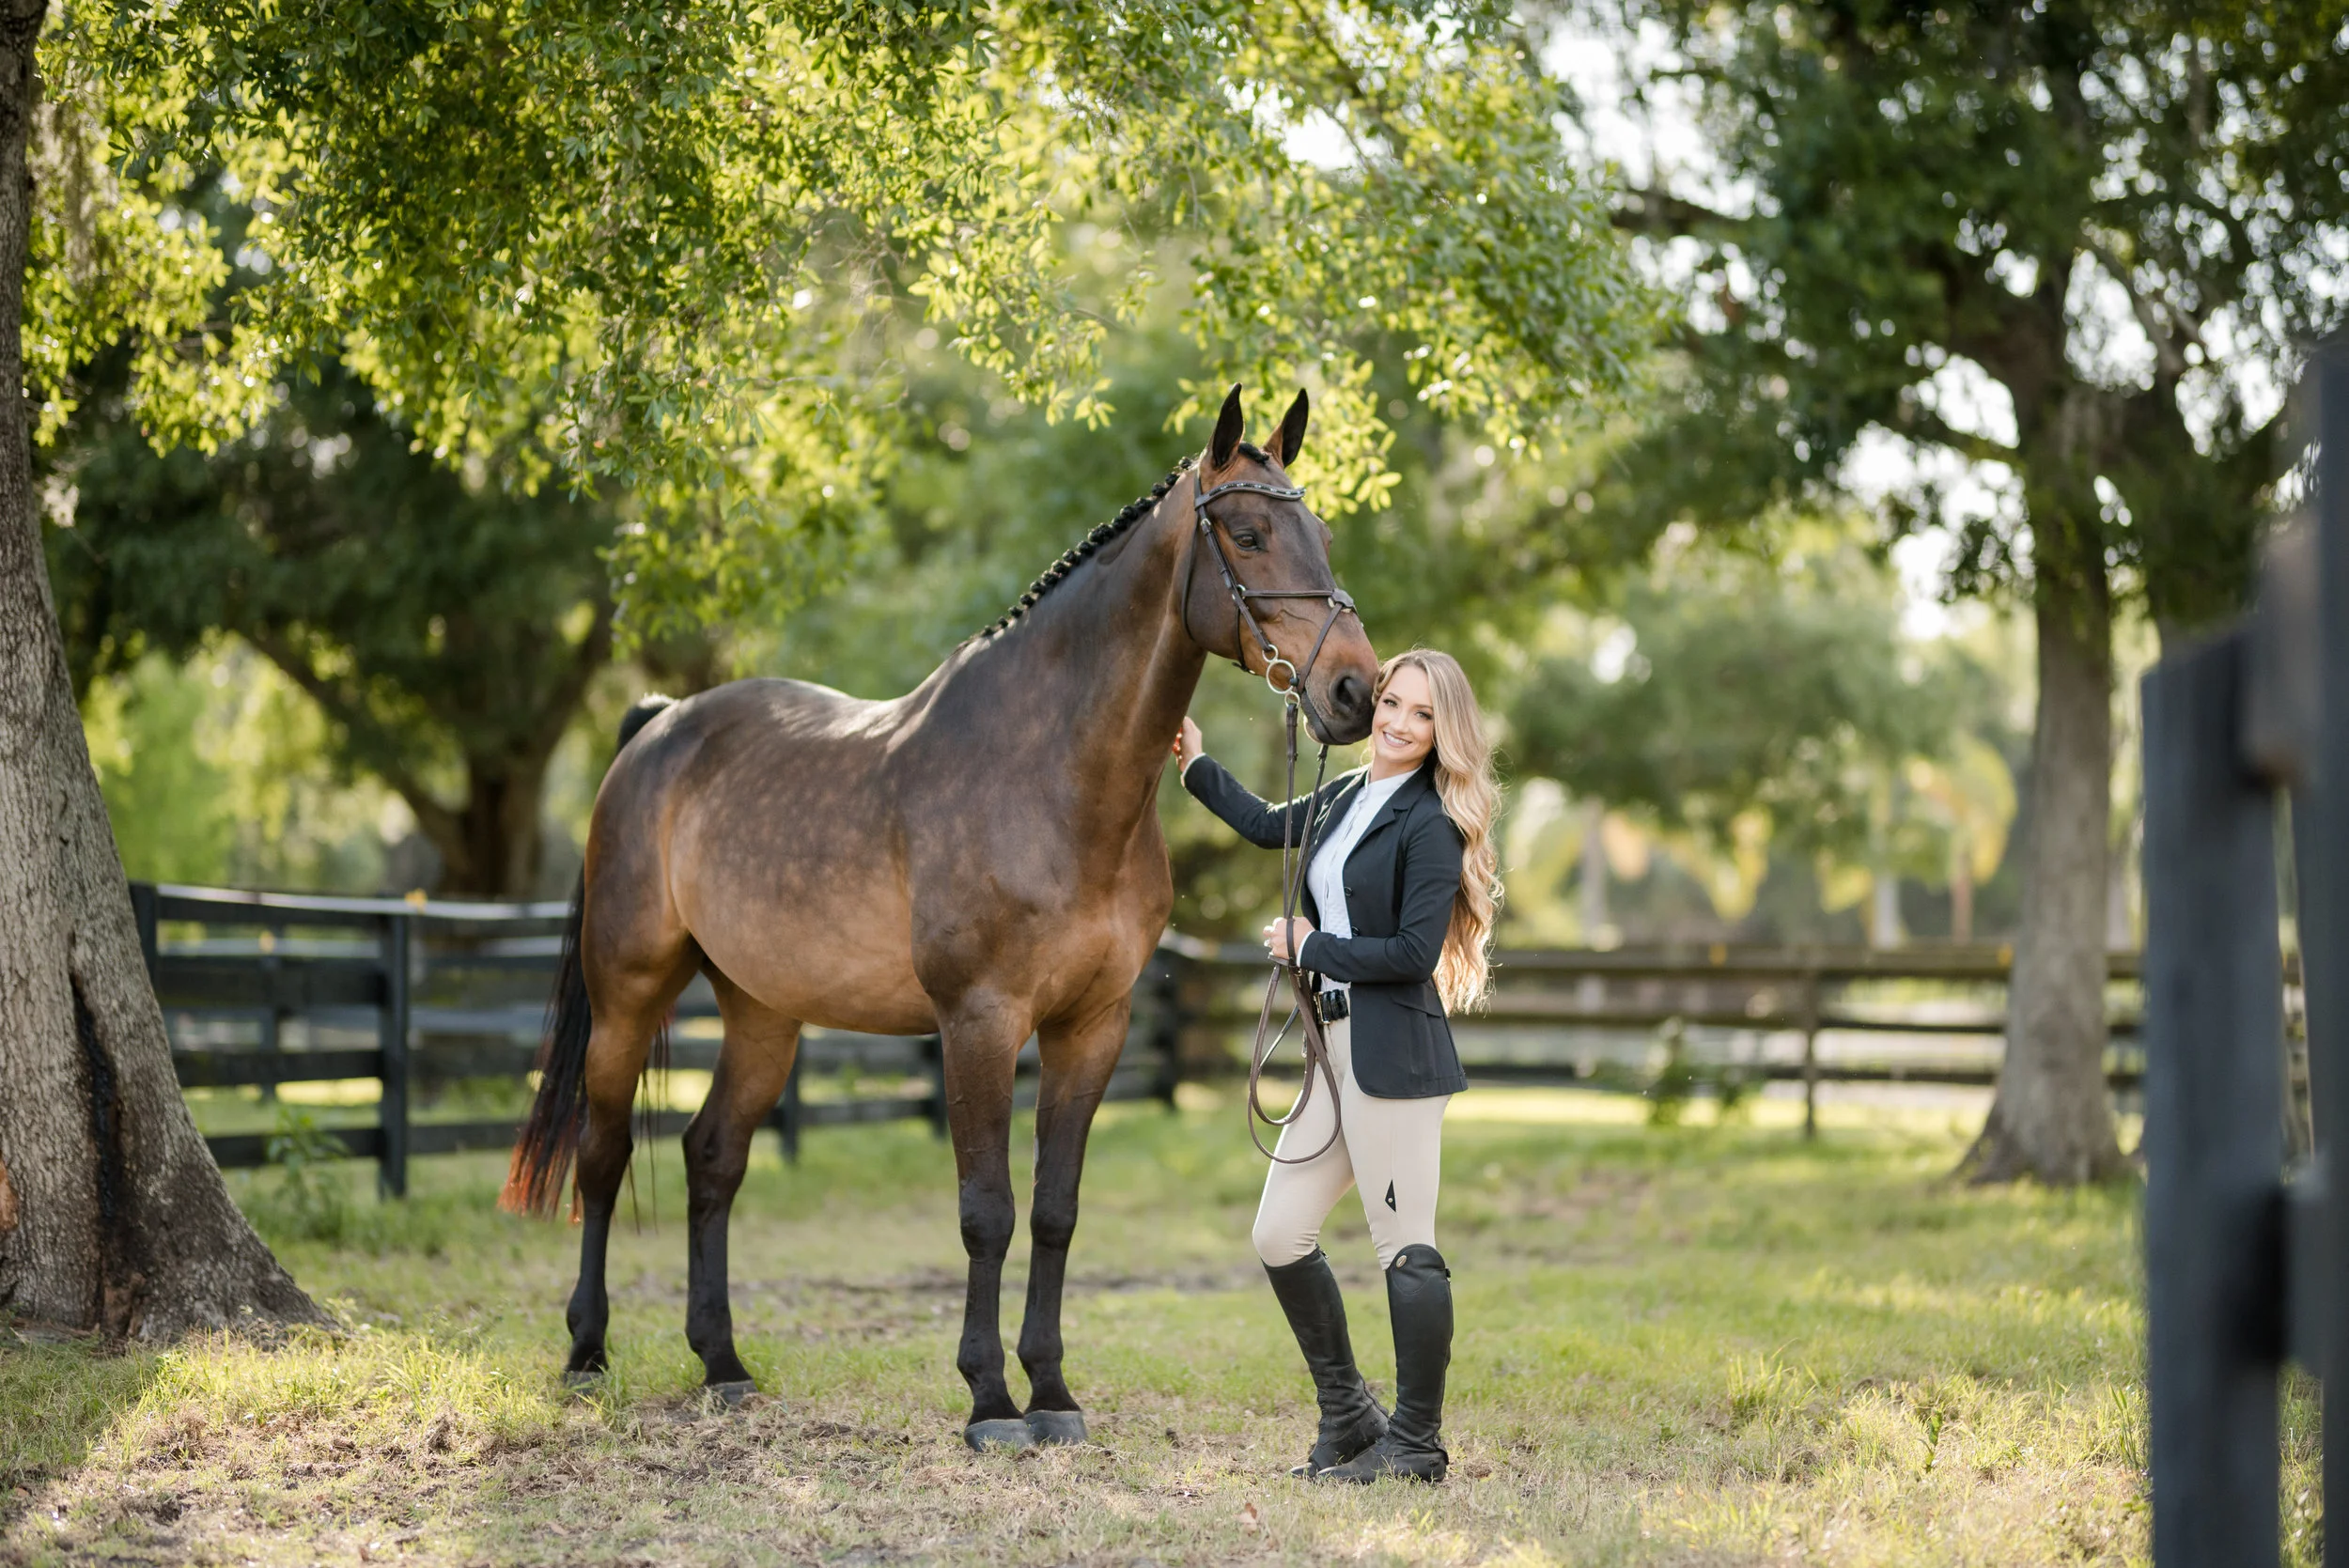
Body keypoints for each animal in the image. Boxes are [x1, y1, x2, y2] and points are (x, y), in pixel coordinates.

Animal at [502, 384, 1380, 1449]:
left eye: (1321, 534)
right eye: (1249, 534)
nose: (1356, 691)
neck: (1049, 775)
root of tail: (660, 727)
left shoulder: (1094, 1026)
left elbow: (1054, 1209)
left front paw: (1052, 1390)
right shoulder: (979, 1022)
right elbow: (985, 1209)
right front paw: (991, 1400)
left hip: (764, 1012)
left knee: (713, 1157)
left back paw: (722, 1363)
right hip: (628, 992)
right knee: (603, 1154)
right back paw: (588, 1352)